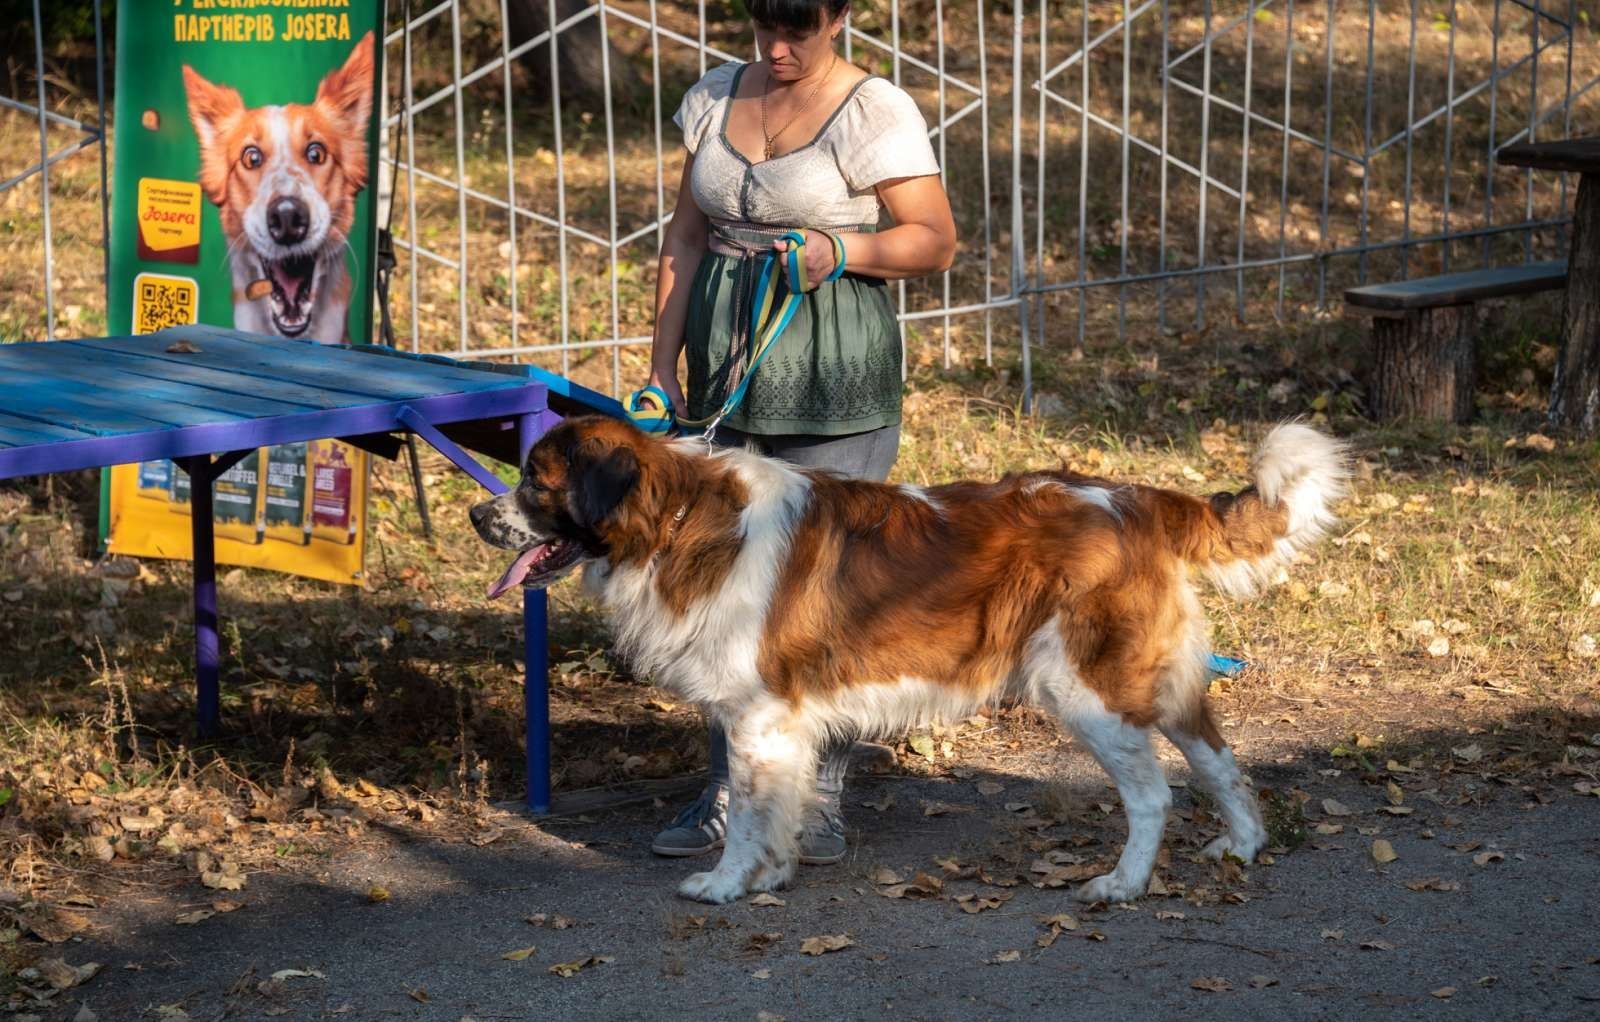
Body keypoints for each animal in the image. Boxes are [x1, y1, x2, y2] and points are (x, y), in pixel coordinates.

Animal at [473, 419, 1350, 908]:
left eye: (535, 483)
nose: (480, 513)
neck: (680, 520)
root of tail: (1133, 497)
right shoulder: (782, 722)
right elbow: (776, 808)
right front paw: (770, 879)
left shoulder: (757, 715)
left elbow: (750, 813)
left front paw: (726, 885)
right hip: (1153, 681)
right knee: (1219, 758)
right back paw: (1243, 845)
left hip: (1087, 689)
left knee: (1153, 794)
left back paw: (1124, 885)